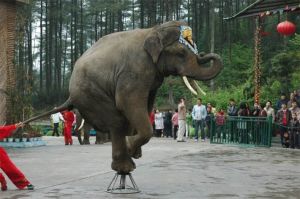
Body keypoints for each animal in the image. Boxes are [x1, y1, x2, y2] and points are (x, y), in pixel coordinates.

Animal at [24, 20, 221, 174]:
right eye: (181, 53)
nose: (204, 54)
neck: (153, 29)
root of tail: (71, 92)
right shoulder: (134, 70)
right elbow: (128, 101)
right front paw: (131, 145)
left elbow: (146, 104)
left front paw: (134, 149)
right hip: (90, 94)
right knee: (116, 121)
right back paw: (124, 165)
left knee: (119, 121)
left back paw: (127, 162)